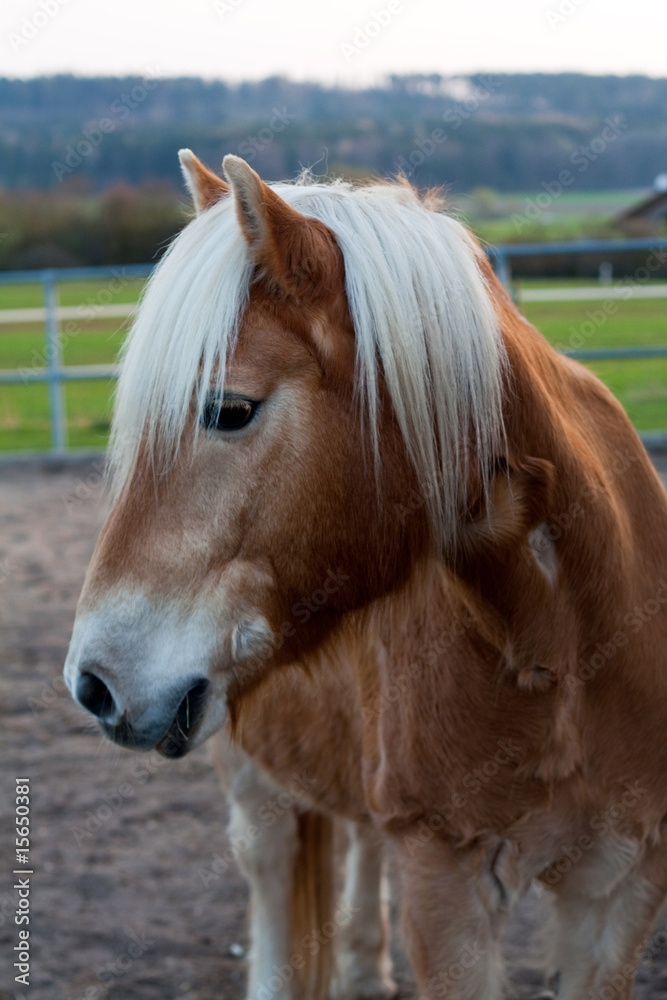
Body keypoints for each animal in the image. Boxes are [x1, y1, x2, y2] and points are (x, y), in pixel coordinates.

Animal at [64, 148, 667, 1000]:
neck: (567, 650)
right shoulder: (445, 883)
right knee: (271, 876)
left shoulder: (623, 888)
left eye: (229, 409)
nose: (92, 684)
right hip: (248, 769)